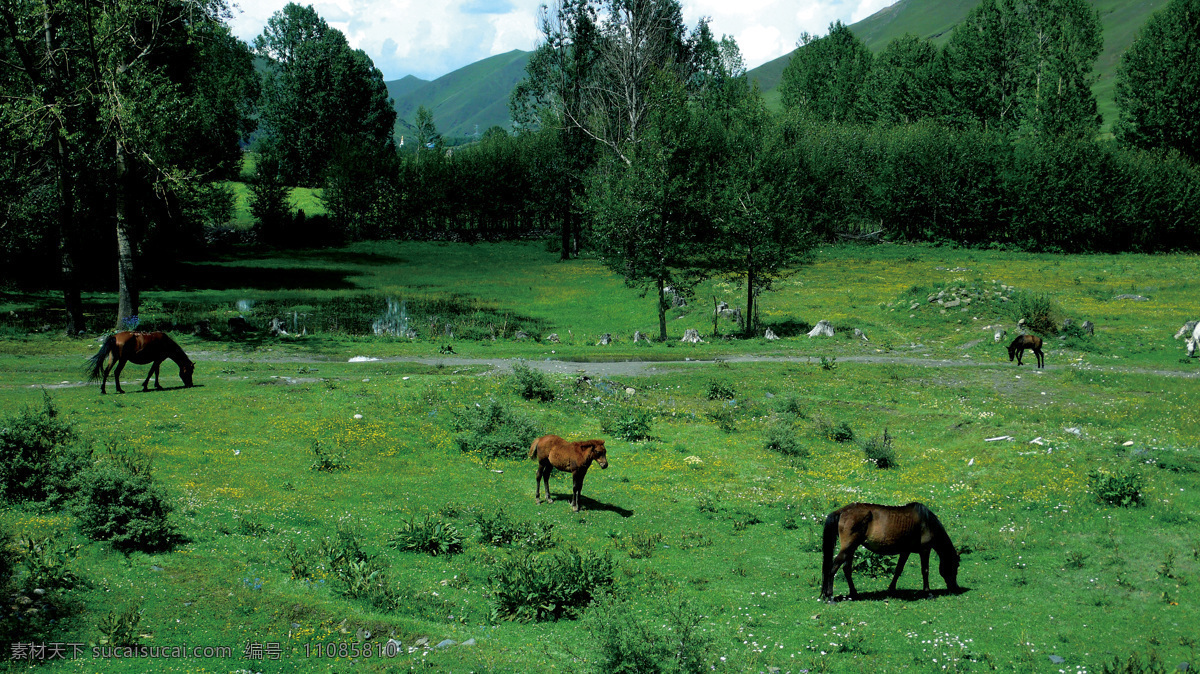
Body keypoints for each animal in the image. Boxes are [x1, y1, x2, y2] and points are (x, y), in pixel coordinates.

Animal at [820, 498, 960, 597]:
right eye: (956, 566)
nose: (956, 589)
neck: (926, 522)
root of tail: (842, 511)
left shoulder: (905, 551)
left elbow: (898, 570)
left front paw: (891, 589)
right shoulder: (925, 550)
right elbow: (925, 570)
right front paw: (928, 592)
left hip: (851, 549)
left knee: (846, 569)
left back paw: (853, 593)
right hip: (848, 548)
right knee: (833, 568)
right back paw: (830, 596)